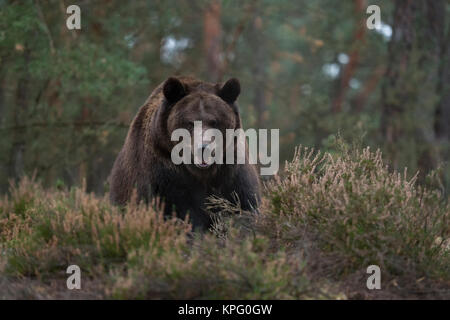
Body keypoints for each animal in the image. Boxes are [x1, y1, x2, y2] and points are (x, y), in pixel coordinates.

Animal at [108, 76, 260, 229]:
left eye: (214, 121)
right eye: (190, 122)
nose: (203, 147)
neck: (203, 174)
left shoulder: (231, 171)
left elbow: (243, 205)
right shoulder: (164, 171)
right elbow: (178, 211)